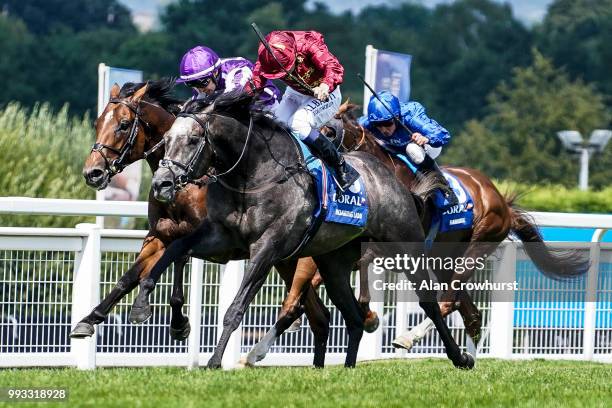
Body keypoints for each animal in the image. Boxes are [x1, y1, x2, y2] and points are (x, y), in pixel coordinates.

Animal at [72, 79, 334, 364]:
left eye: (123, 124)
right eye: (97, 123)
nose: (93, 173)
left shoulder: (202, 236)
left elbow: (176, 268)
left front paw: (178, 324)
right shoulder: (159, 235)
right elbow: (129, 277)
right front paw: (89, 319)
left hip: (295, 261)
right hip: (287, 261)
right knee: (319, 315)